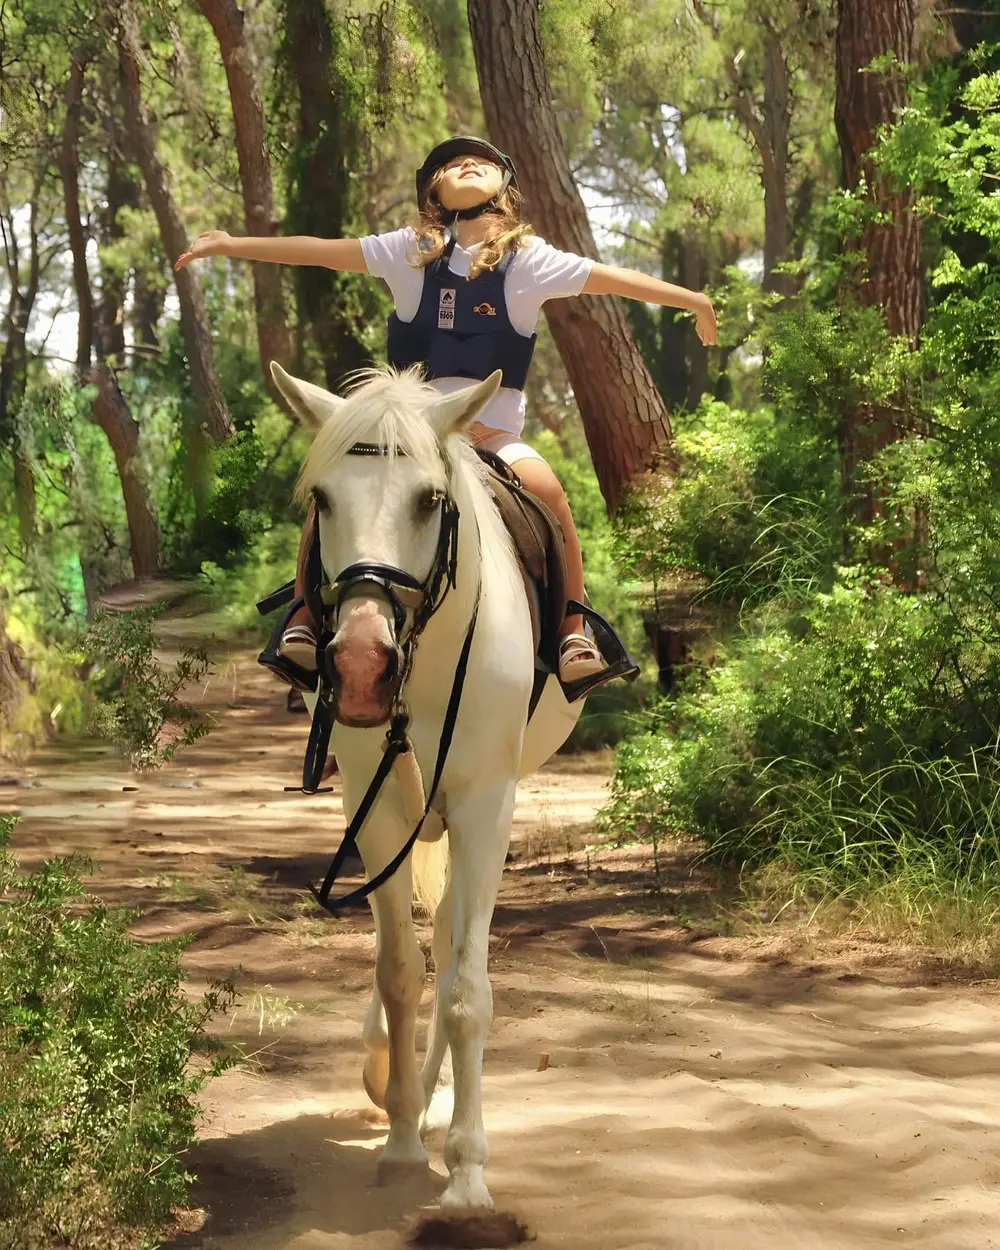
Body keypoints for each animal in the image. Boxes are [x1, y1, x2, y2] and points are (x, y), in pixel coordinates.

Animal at [270, 360, 581, 1215]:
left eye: (429, 501)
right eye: (321, 500)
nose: (360, 669)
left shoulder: (483, 805)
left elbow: (466, 989)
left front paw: (467, 1175)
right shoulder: (374, 806)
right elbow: (399, 971)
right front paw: (405, 1138)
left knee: (450, 945)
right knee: (419, 948)